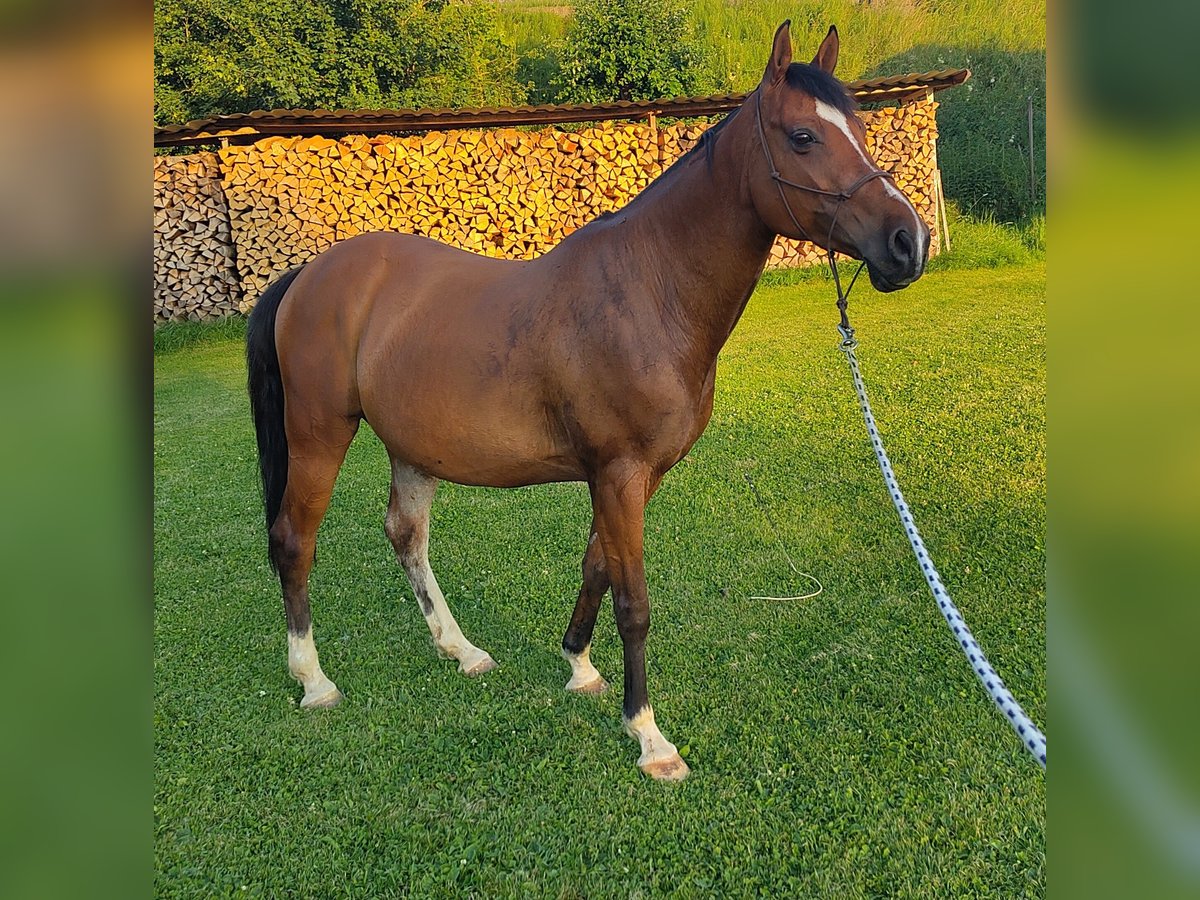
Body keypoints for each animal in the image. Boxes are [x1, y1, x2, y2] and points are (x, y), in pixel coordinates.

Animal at [246, 21, 928, 781]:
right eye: (804, 136)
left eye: (861, 129)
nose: (908, 241)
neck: (650, 288)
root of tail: (309, 274)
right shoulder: (618, 472)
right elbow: (633, 601)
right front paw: (649, 736)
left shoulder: (634, 476)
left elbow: (597, 566)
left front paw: (578, 665)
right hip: (318, 436)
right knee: (295, 541)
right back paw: (314, 681)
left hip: (412, 447)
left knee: (406, 537)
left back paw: (463, 651)